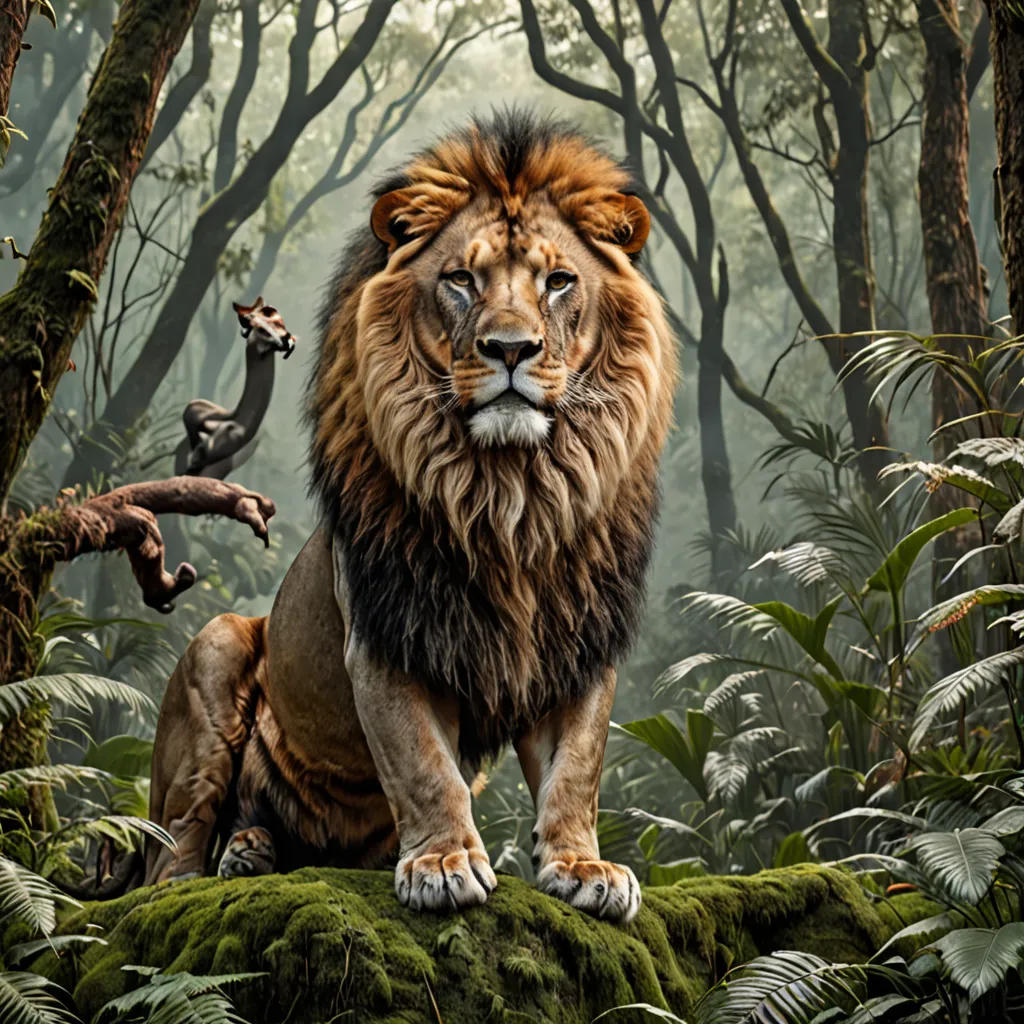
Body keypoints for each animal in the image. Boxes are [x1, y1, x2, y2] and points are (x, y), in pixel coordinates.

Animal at [144, 111, 676, 924]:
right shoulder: (388, 630)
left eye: (558, 282)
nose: (512, 349)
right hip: (216, 648)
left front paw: (581, 867)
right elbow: (423, 763)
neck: (513, 494)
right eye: (461, 280)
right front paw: (444, 863)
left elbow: (577, 768)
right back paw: (219, 868)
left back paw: (258, 851)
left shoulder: (578, 642)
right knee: (176, 844)